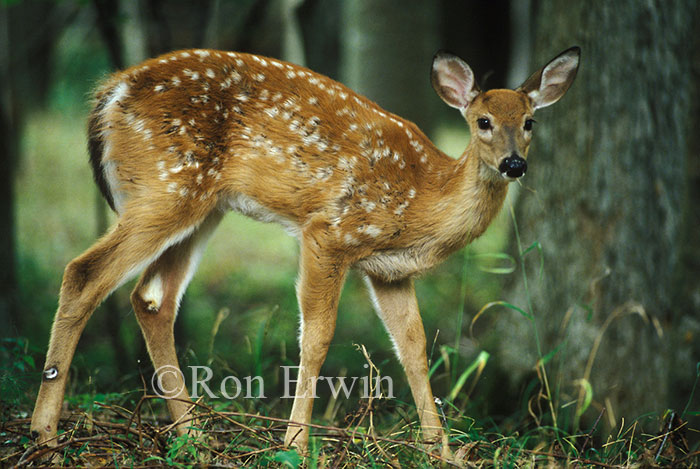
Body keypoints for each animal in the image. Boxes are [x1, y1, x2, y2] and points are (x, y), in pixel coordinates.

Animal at [29, 46, 579, 455]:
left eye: (529, 121)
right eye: (482, 121)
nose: (513, 164)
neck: (422, 197)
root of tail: (109, 92)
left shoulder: (389, 272)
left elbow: (415, 351)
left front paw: (440, 452)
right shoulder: (330, 232)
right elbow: (316, 338)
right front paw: (294, 443)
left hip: (201, 206)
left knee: (152, 298)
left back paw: (193, 437)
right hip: (165, 187)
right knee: (83, 273)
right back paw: (45, 435)